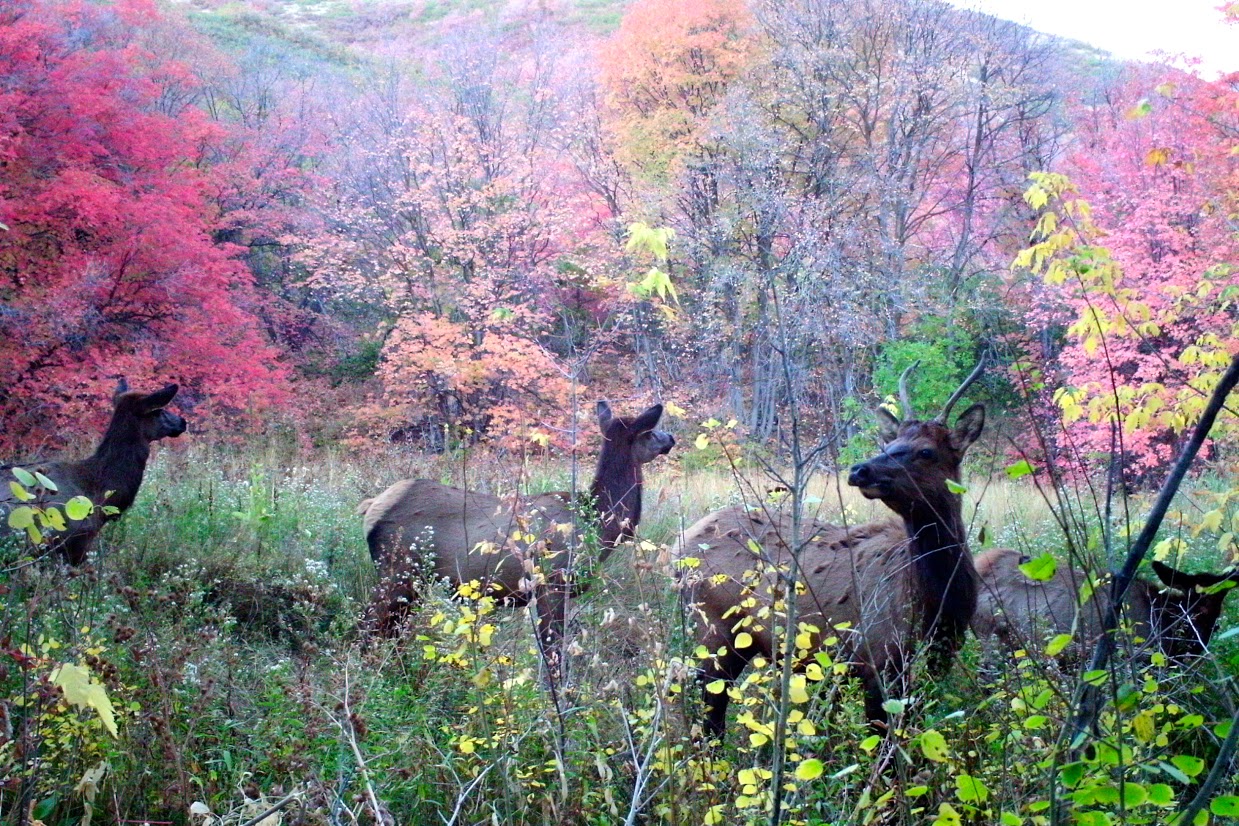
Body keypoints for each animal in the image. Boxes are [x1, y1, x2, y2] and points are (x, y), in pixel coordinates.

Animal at [359, 401, 678, 643]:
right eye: (650, 432)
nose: (671, 438)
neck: (598, 525)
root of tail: (371, 507)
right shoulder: (552, 583)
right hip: (397, 574)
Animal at [678, 361, 986, 738]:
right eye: (891, 441)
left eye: (927, 451)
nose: (860, 469)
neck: (937, 602)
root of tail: (678, 545)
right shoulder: (878, 658)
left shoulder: (937, 661)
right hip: (713, 630)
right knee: (710, 710)